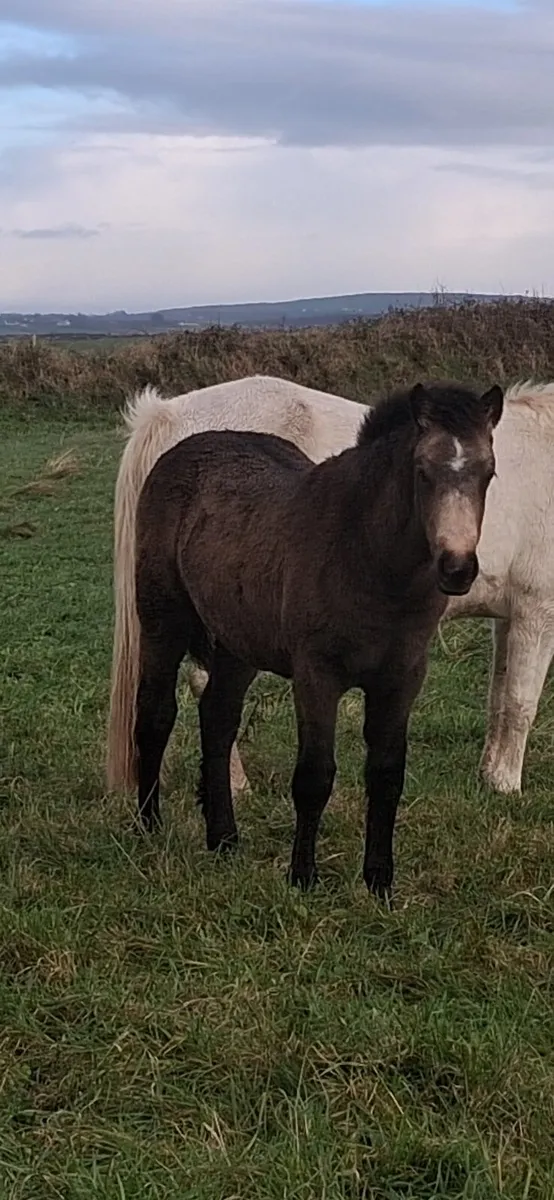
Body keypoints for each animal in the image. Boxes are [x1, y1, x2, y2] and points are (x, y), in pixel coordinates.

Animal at [114, 381, 502, 899]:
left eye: (488, 472)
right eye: (422, 471)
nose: (457, 569)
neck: (368, 558)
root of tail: (178, 446)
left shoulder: (401, 678)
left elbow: (386, 773)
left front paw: (379, 880)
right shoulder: (317, 675)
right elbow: (315, 775)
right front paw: (302, 876)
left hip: (237, 645)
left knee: (217, 720)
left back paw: (223, 837)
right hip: (163, 622)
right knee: (156, 716)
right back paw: (149, 824)